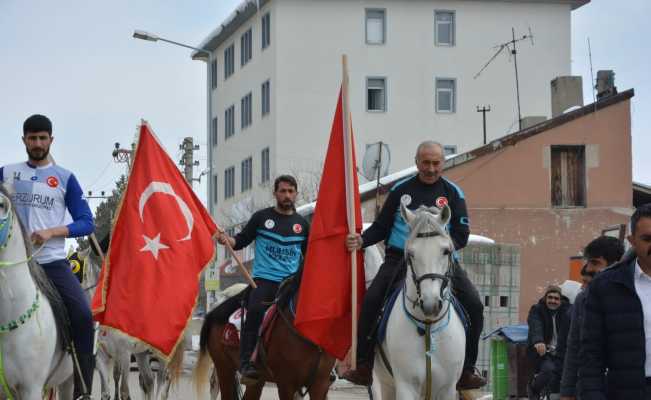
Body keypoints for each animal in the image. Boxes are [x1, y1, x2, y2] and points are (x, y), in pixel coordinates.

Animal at [374, 206, 466, 400]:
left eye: (446, 251)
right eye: (411, 254)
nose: (431, 304)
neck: (428, 326)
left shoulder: (447, 388)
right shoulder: (406, 386)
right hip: (387, 385)